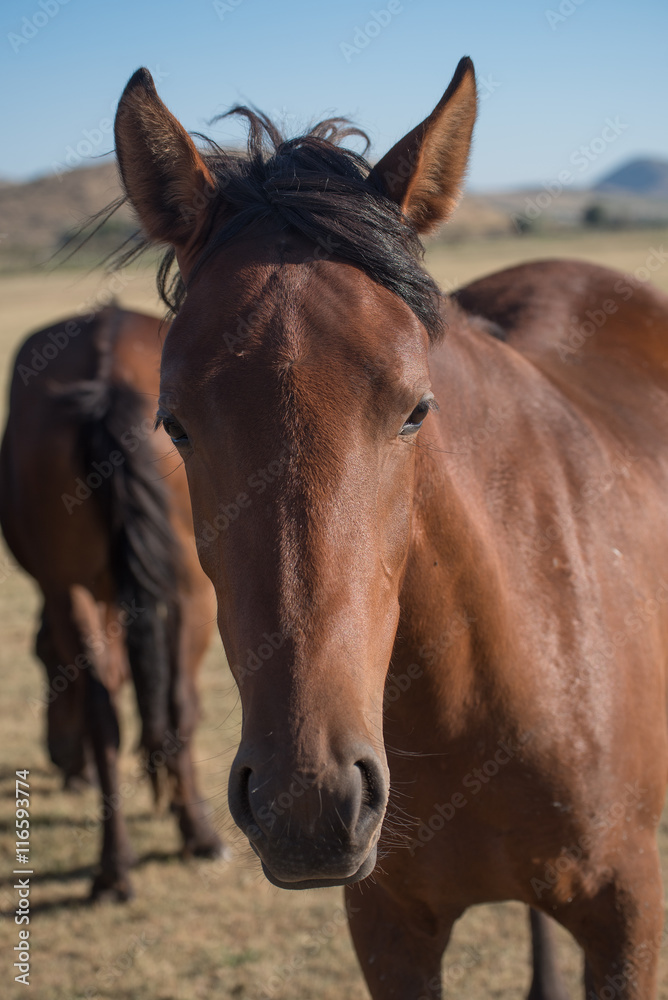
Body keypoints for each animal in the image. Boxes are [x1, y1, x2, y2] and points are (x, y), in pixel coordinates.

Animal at [0, 306, 224, 900]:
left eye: (41, 660)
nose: (57, 754)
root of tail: (109, 373)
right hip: (193, 588)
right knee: (173, 701)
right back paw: (187, 837)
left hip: (76, 588)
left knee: (115, 711)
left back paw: (118, 863)